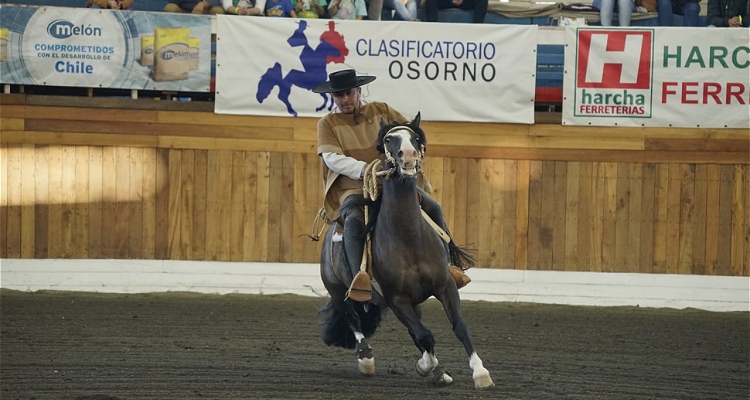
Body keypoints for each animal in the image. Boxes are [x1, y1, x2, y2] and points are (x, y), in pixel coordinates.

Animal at [320, 112, 496, 388]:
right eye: (388, 139)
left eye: (415, 138)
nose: (409, 157)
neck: (409, 238)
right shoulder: (397, 299)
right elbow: (425, 335)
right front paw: (428, 366)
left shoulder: (444, 286)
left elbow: (458, 327)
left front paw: (479, 372)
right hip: (339, 292)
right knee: (354, 320)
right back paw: (366, 359)